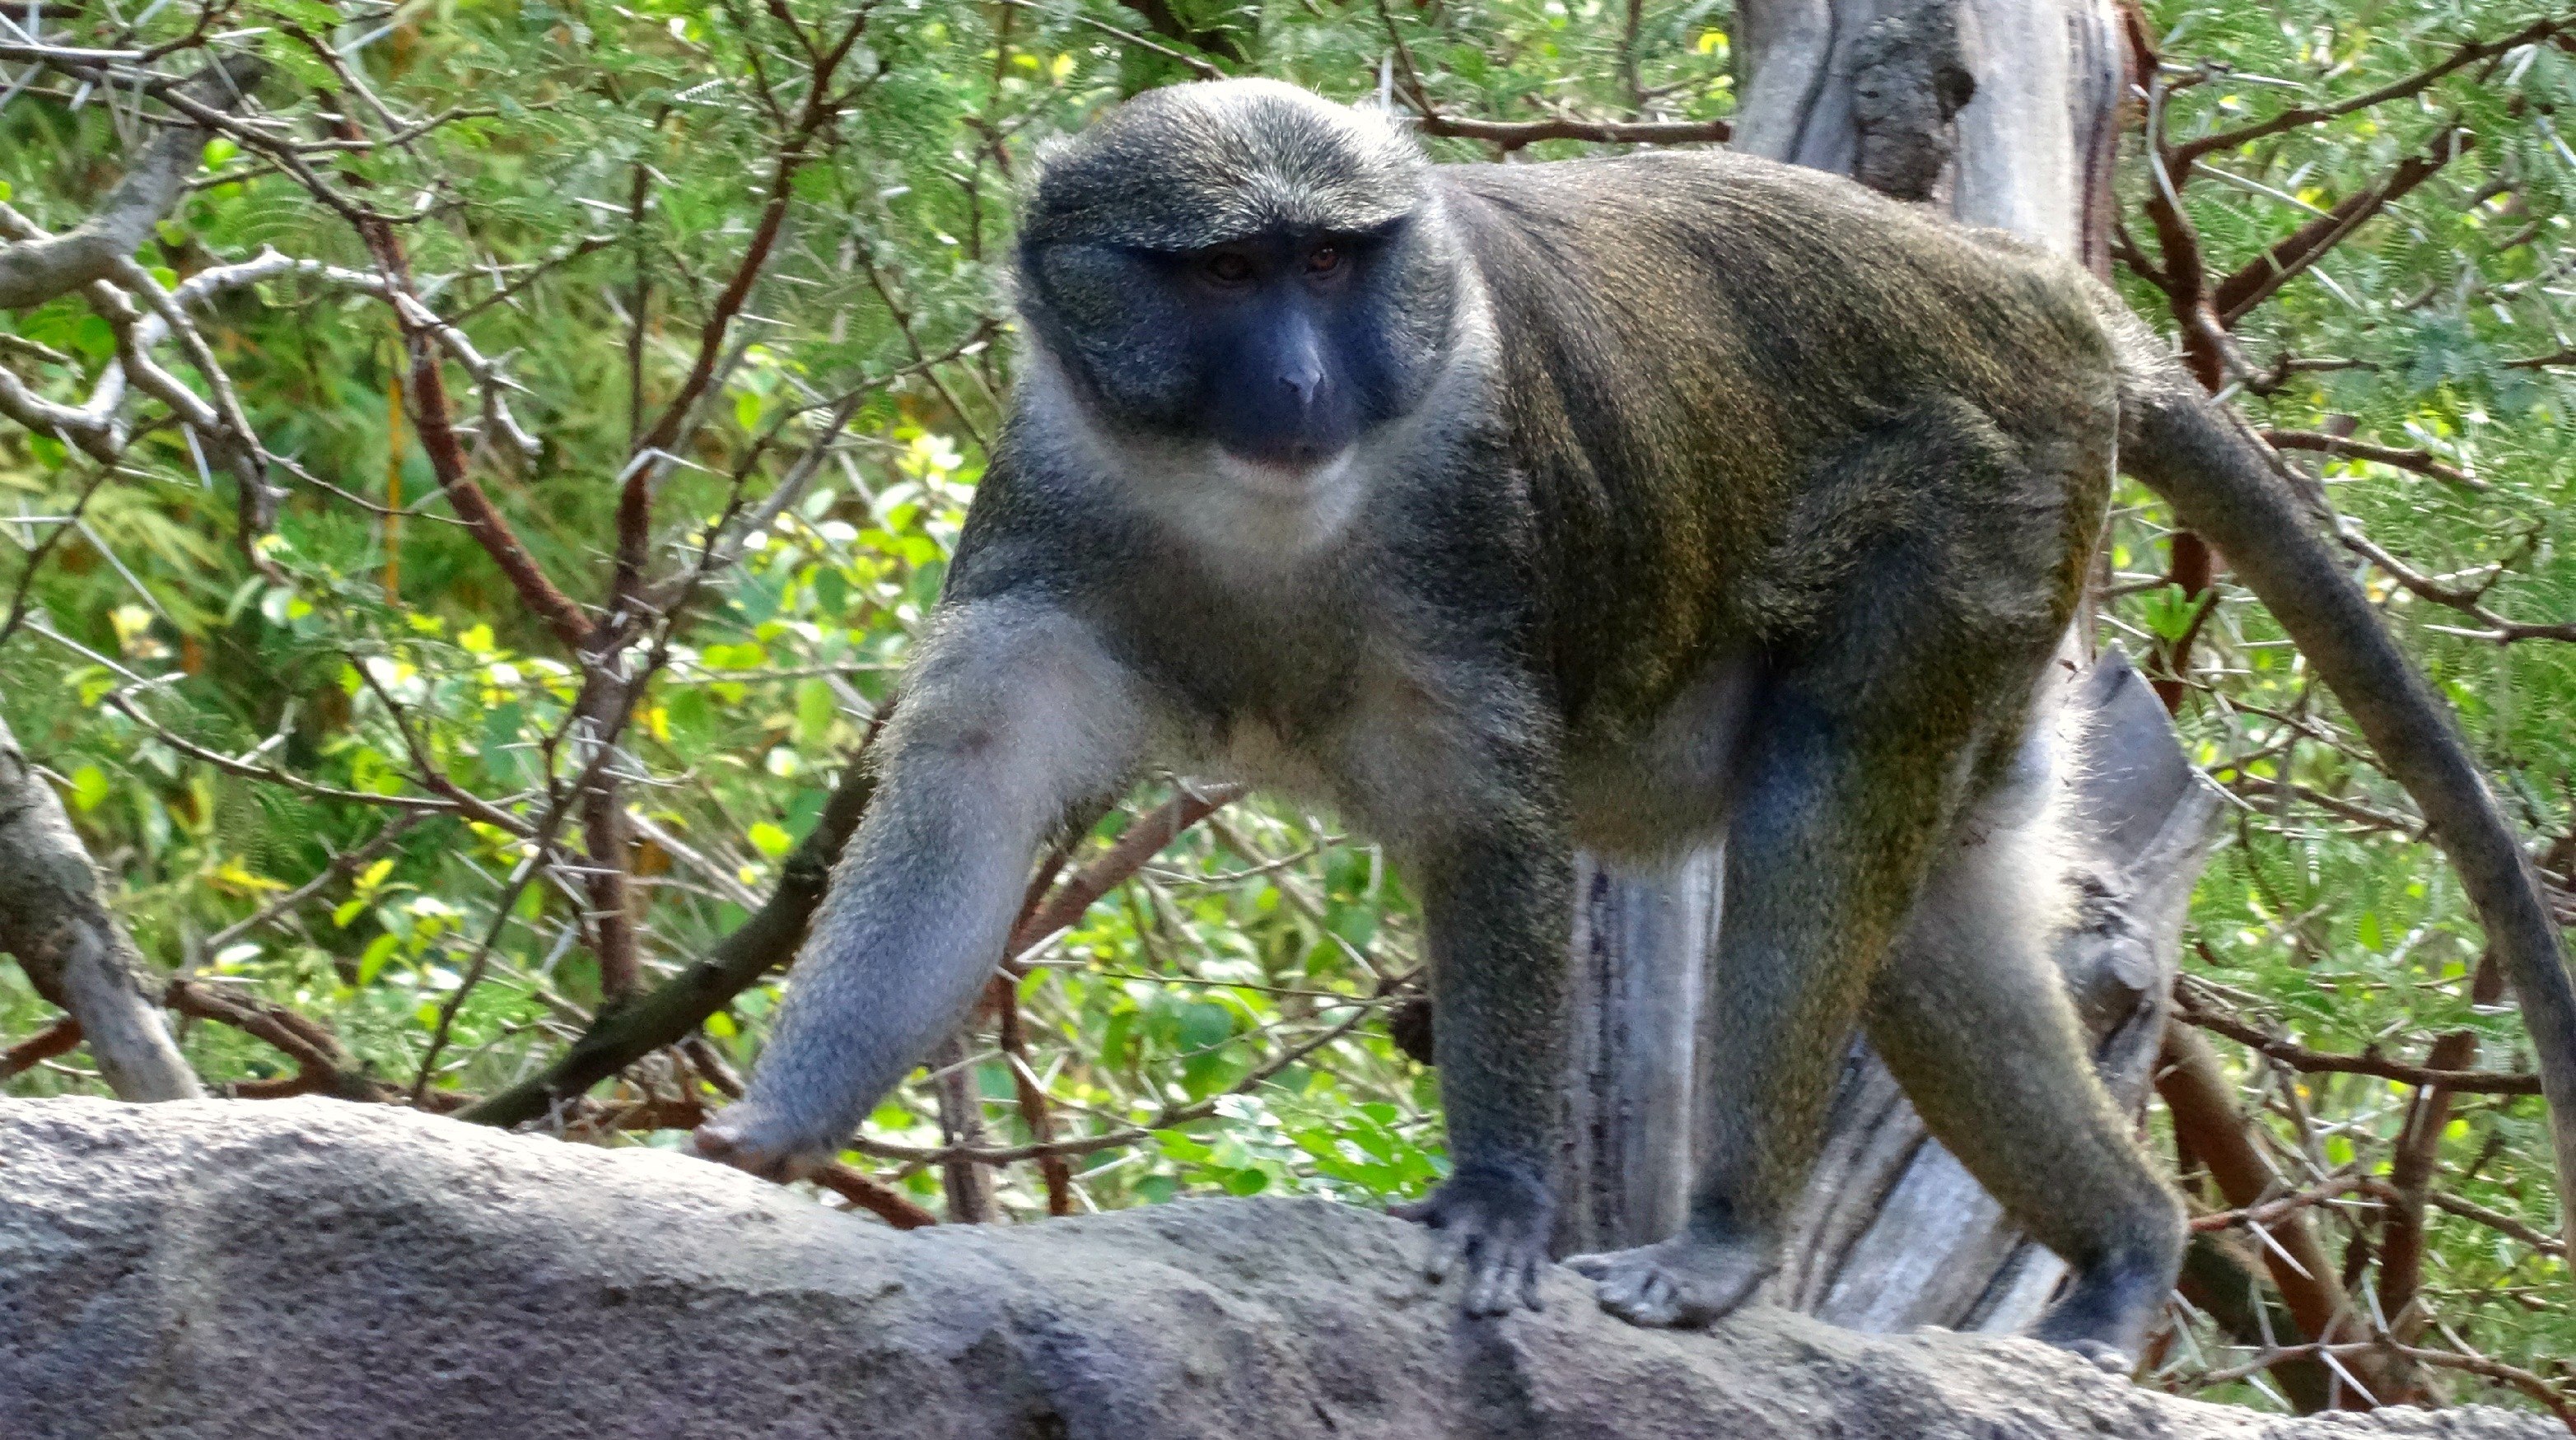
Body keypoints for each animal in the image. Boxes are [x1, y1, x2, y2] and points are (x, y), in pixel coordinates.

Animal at [700, 76, 2576, 1360]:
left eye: (1330, 260)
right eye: (1227, 273)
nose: (1303, 379)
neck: (1250, 513)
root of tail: (2047, 301)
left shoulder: (1473, 564)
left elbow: (1492, 834)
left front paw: (1498, 1199)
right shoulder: (1041, 545)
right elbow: (963, 810)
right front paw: (765, 1139)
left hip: (1975, 520)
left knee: (1823, 811)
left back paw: (1728, 1240)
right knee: (1933, 928)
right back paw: (2124, 1252)